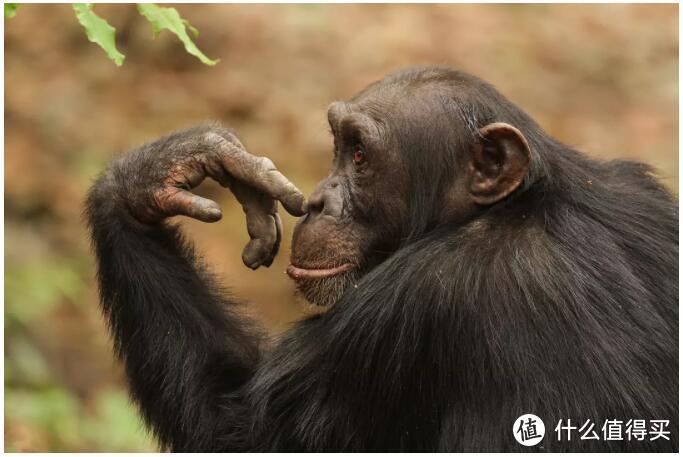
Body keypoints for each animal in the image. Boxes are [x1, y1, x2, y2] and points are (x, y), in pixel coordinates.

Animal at [85, 66, 680, 450]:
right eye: (339, 147)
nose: (319, 200)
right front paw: (175, 164)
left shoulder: (420, 298)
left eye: (360, 155)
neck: (517, 205)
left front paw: (147, 178)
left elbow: (231, 425)